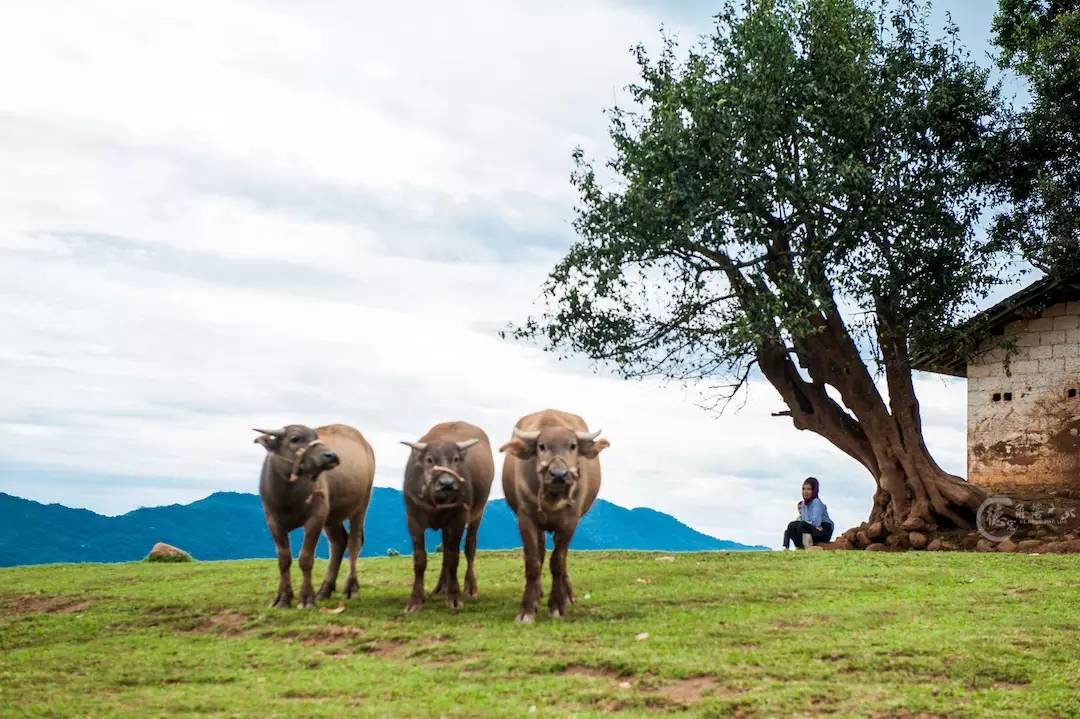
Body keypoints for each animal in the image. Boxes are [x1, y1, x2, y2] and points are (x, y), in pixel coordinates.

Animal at [252, 423, 375, 608]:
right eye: (295, 438)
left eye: (316, 436)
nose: (331, 456)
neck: (288, 496)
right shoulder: (272, 520)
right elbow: (283, 559)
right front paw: (283, 598)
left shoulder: (316, 518)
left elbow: (306, 558)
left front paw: (306, 599)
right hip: (332, 516)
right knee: (338, 543)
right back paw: (325, 590)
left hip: (361, 505)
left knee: (354, 542)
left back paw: (351, 588)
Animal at [401, 421, 494, 608]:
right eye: (430, 459)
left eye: (455, 459)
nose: (447, 483)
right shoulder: (413, 519)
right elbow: (420, 559)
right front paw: (416, 600)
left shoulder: (458, 519)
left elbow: (453, 557)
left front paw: (454, 597)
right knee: (444, 548)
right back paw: (440, 587)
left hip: (477, 513)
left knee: (469, 548)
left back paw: (470, 589)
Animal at [496, 408, 609, 621]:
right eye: (541, 446)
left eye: (572, 446)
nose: (558, 475)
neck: (552, 498)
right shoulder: (525, 518)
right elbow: (533, 561)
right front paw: (528, 609)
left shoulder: (570, 521)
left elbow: (558, 561)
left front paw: (557, 605)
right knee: (540, 553)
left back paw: (567, 596)